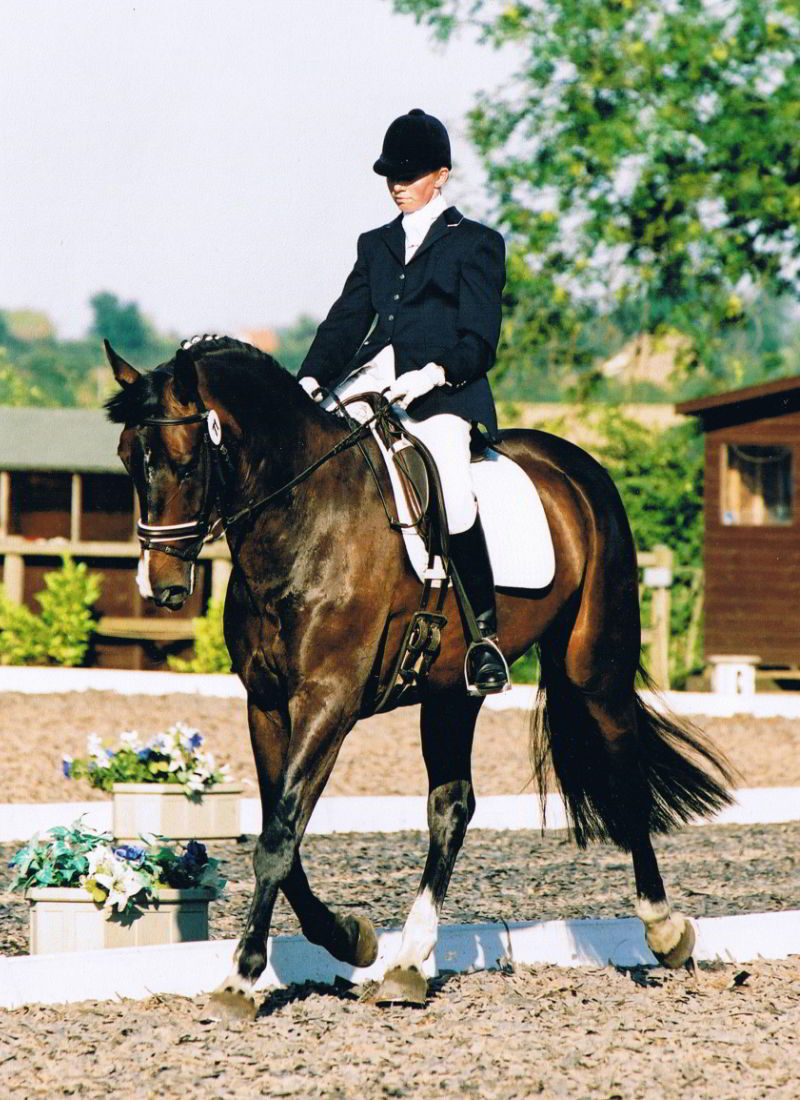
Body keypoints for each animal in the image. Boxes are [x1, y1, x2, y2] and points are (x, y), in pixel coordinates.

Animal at [105, 332, 730, 1012]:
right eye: (127, 460)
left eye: (185, 462)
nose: (159, 586)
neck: (302, 520)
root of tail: (578, 467)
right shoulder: (266, 703)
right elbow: (282, 834)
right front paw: (351, 939)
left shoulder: (328, 701)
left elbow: (278, 838)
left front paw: (239, 980)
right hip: (454, 692)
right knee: (451, 806)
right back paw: (407, 961)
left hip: (594, 668)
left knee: (625, 774)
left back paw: (665, 930)